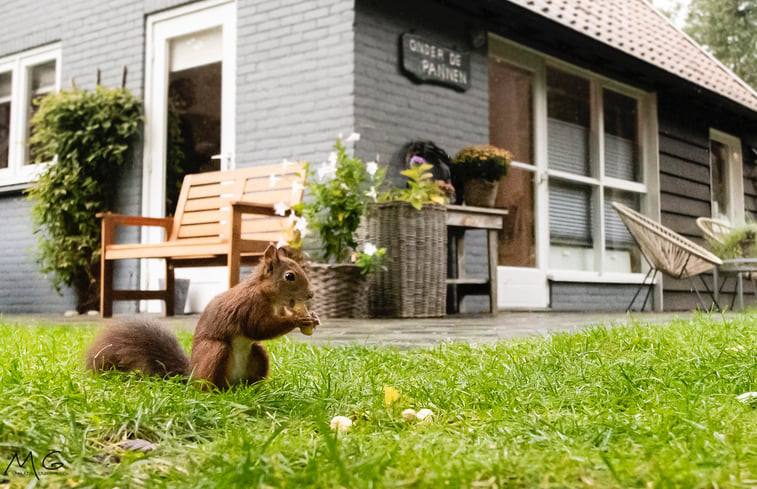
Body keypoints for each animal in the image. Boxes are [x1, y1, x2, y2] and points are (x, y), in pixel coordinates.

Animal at [86, 244, 318, 388]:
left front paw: (313, 317)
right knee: (206, 385)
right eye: (289, 276)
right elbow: (258, 328)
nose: (311, 294)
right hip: (215, 351)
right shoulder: (249, 307)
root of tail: (191, 375)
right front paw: (297, 319)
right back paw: (214, 392)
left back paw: (255, 390)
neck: (267, 295)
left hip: (258, 354)